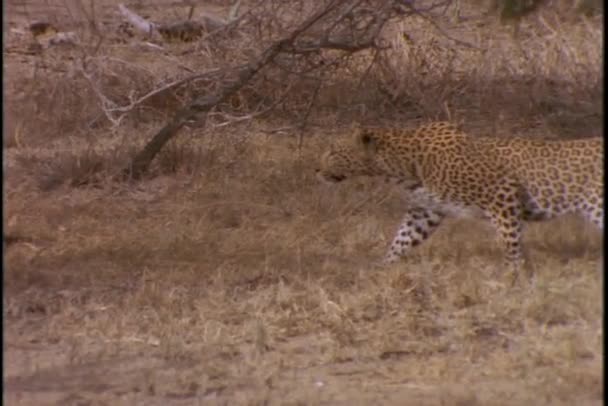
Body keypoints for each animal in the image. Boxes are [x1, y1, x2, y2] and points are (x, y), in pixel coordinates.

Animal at [316, 120, 600, 276]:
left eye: (333, 152)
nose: (316, 170)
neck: (402, 167)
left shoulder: (502, 193)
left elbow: (510, 239)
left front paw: (512, 272)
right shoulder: (425, 211)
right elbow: (402, 239)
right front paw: (383, 266)